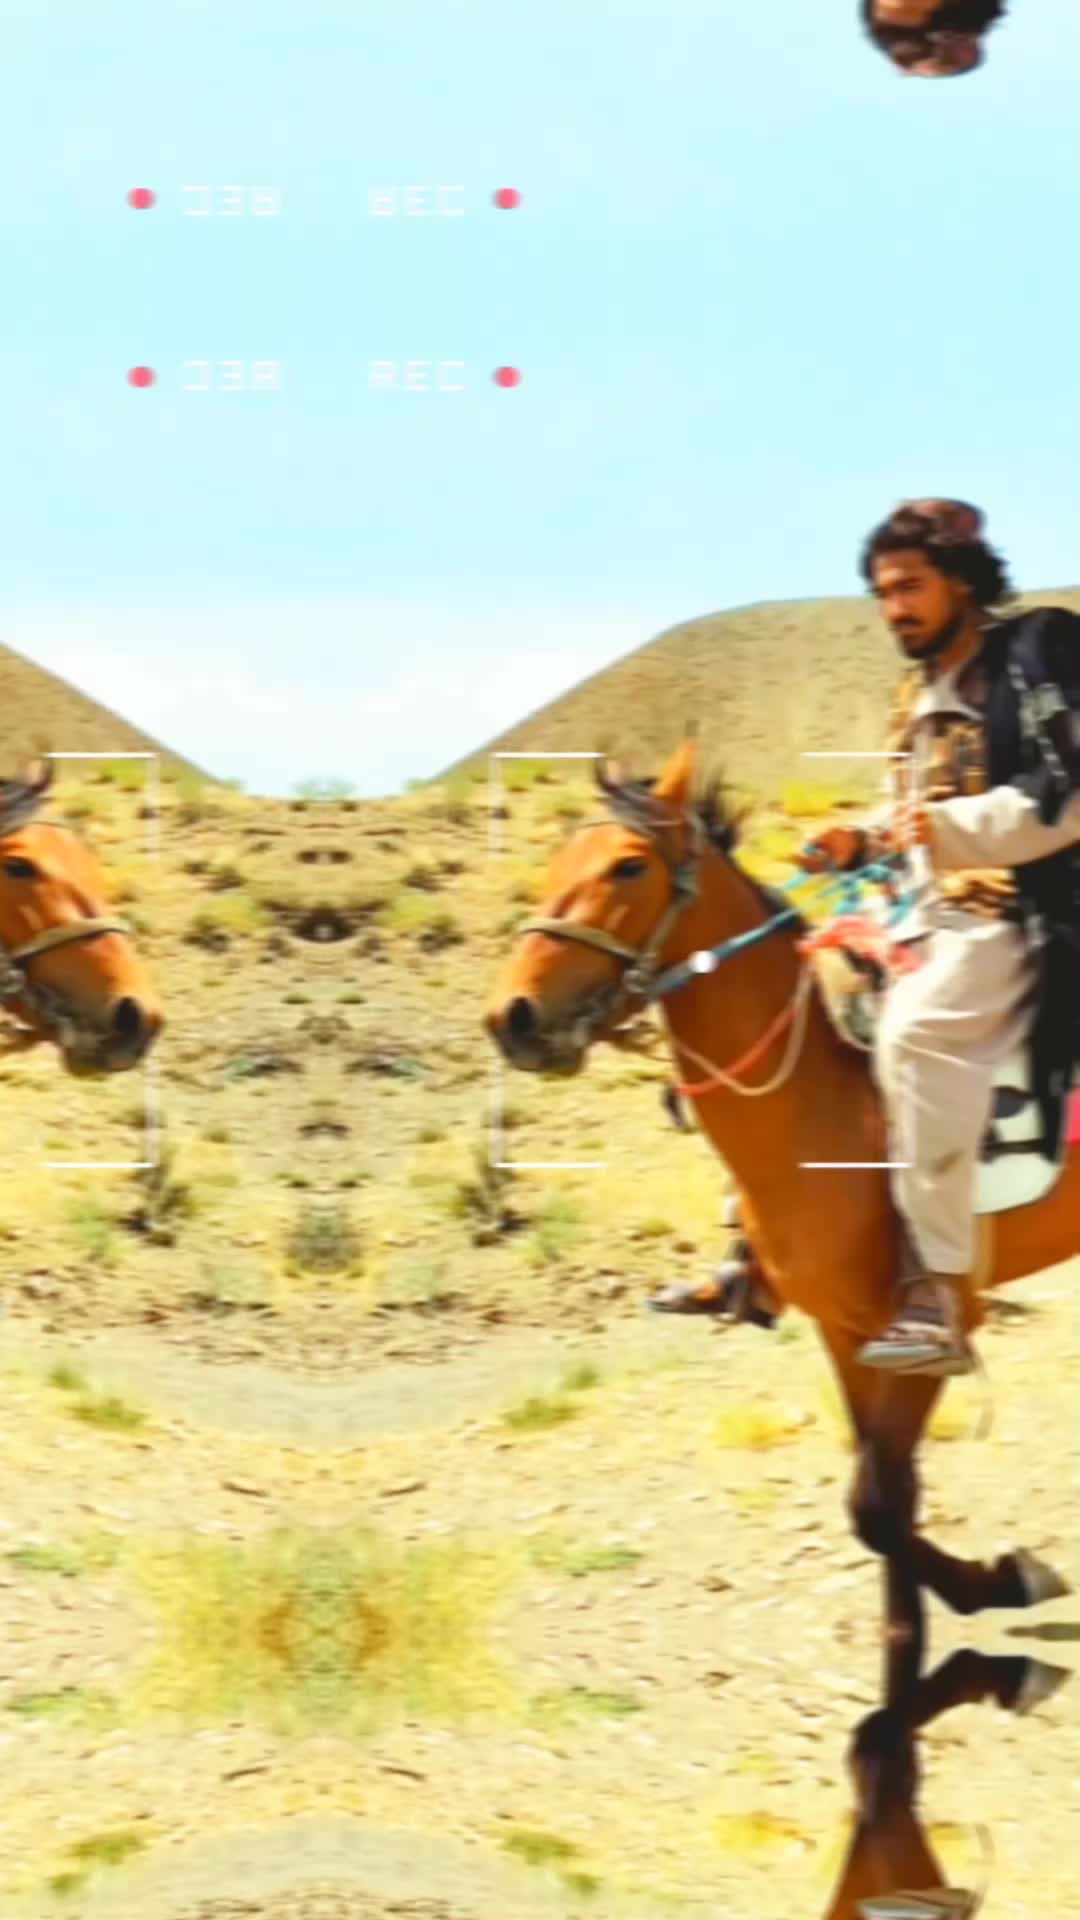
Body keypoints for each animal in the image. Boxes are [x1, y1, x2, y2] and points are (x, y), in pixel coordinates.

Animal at [485, 739, 1078, 1644]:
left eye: (629, 865)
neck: (828, 1108)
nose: (510, 1017)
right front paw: (961, 1600)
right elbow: (885, 1506)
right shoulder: (843, 1330)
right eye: (555, 859)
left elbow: (877, 1505)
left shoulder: (929, 1337)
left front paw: (1004, 1581)